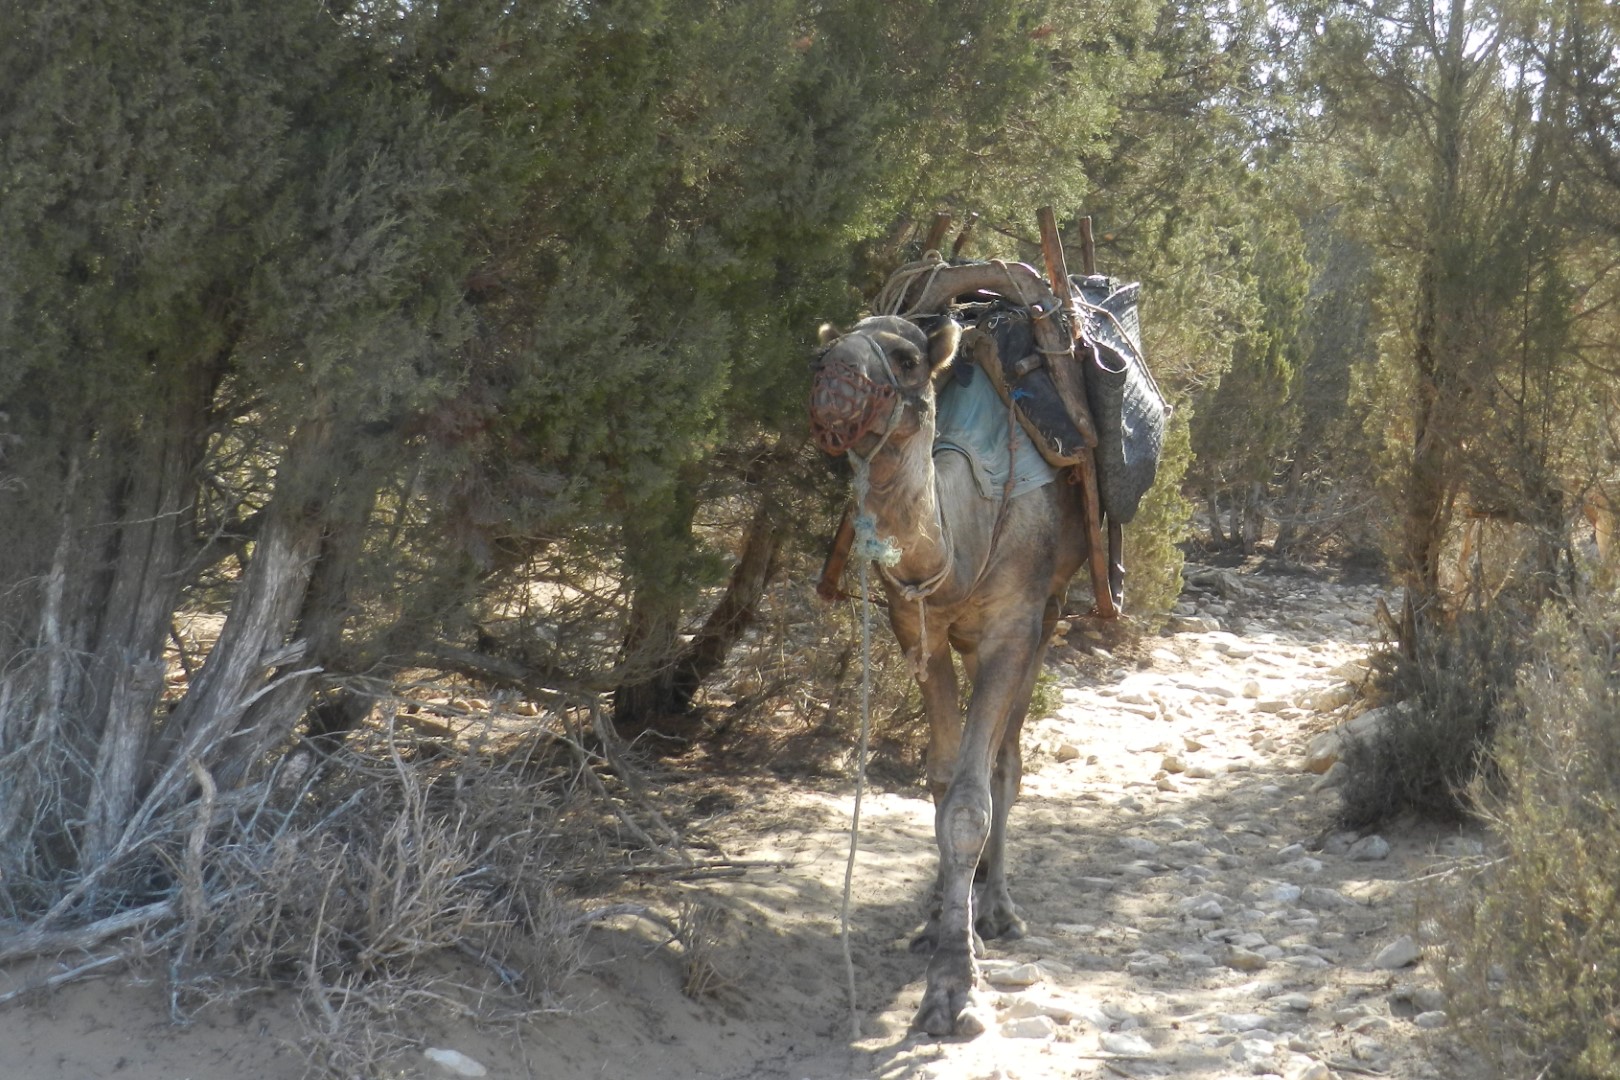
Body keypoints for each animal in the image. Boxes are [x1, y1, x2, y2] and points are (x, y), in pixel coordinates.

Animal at [810, 312, 1088, 1036]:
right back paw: (949, 907)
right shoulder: (918, 630)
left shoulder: (1015, 626)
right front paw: (940, 927)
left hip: (1049, 613)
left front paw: (952, 990)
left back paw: (999, 911)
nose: (831, 373)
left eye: (906, 358)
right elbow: (939, 782)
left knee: (1007, 761)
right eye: (825, 346)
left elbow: (971, 798)